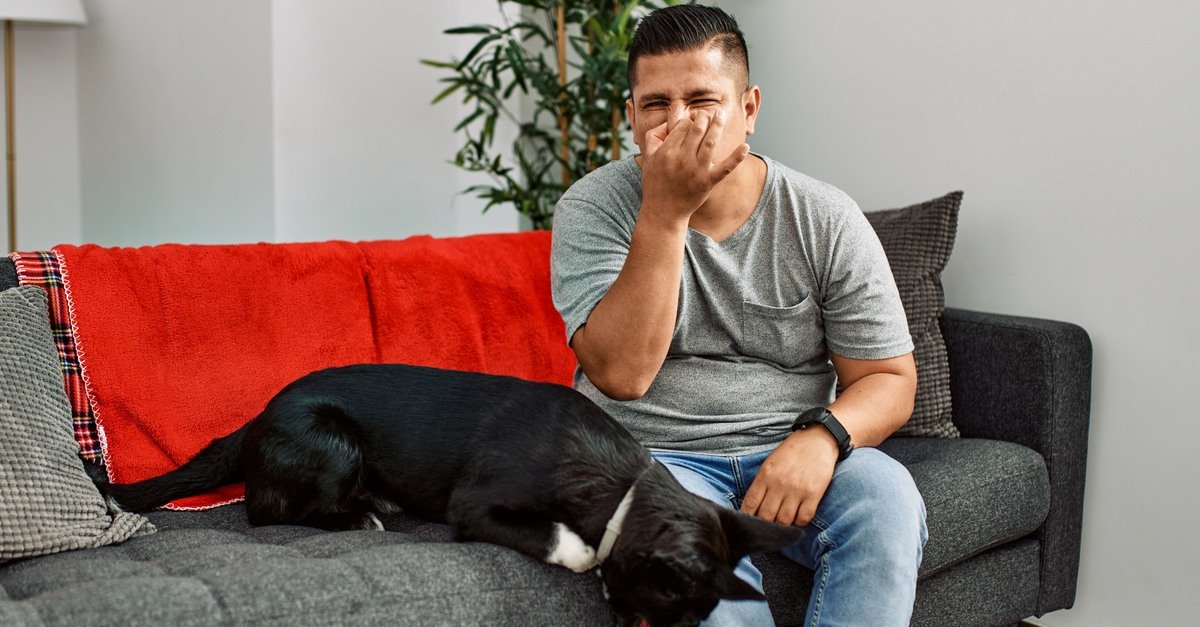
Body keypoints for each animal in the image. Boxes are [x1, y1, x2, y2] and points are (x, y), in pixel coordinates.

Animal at [105, 362, 806, 619]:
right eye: (669, 612)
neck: (620, 484)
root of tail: (256, 420)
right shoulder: (476, 508)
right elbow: (571, 544)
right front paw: (584, 553)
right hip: (332, 442)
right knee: (265, 510)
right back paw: (356, 518)